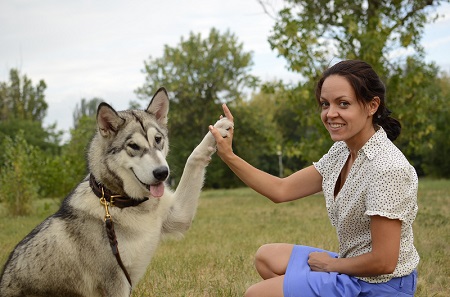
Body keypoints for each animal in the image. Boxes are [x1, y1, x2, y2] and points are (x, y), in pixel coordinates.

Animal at [0, 87, 232, 296]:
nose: (162, 173)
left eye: (158, 139)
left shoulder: (179, 216)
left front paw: (218, 129)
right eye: (133, 146)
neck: (123, 203)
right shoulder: (115, 282)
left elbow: (193, 158)